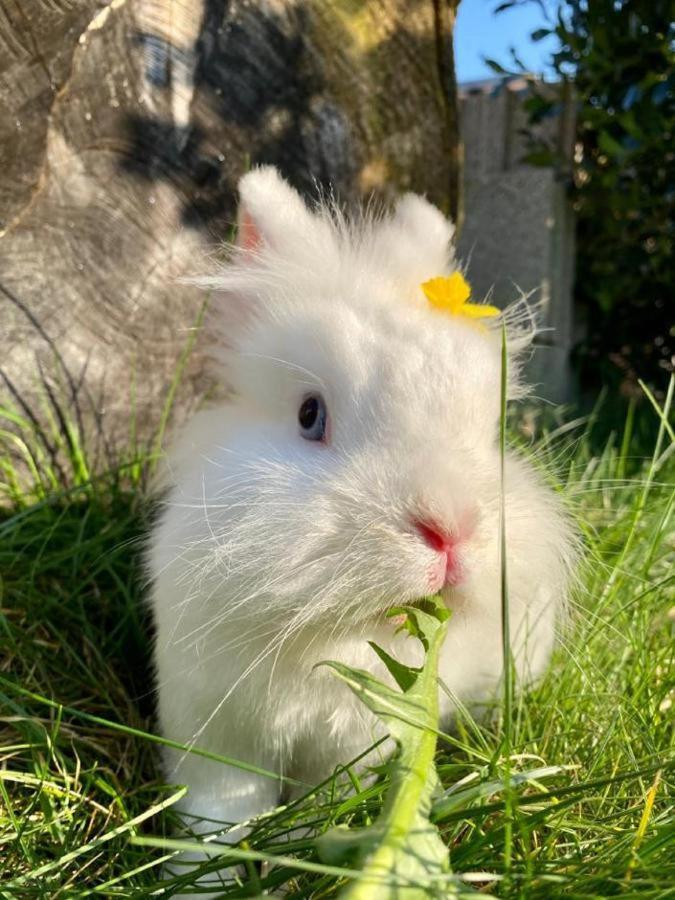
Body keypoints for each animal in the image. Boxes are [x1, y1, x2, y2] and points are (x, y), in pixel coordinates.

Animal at [149, 167, 576, 884]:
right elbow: (215, 819)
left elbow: (321, 805)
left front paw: (302, 855)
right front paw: (198, 884)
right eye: (309, 415)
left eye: (487, 431)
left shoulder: (353, 747)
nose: (451, 527)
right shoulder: (211, 731)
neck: (333, 634)